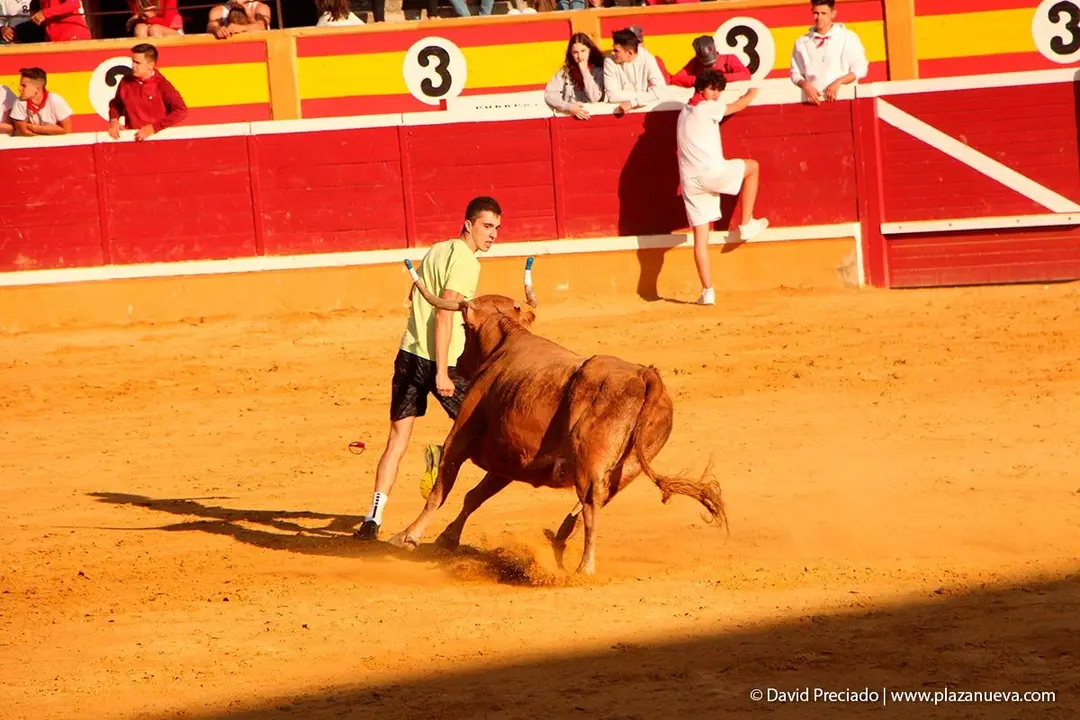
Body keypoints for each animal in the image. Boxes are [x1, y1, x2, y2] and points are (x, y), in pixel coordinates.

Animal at [387, 270, 727, 575]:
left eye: (463, 326)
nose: (458, 363)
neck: (504, 345)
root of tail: (646, 375)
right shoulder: (510, 461)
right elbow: (474, 496)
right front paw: (446, 538)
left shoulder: (460, 437)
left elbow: (441, 489)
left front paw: (408, 536)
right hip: (628, 467)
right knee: (599, 499)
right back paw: (562, 538)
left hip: (590, 458)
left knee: (591, 503)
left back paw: (584, 567)